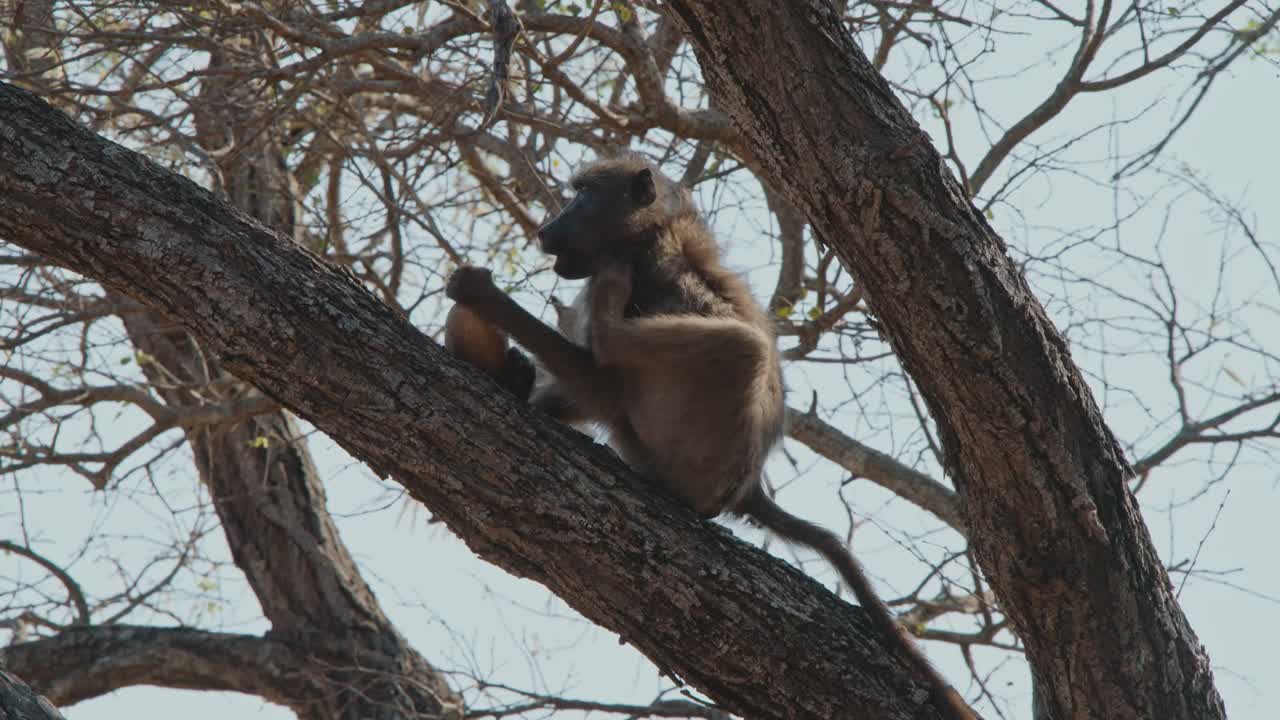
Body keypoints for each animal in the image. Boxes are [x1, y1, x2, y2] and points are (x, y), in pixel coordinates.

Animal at [445, 154, 977, 720]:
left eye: (582, 197)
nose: (547, 230)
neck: (648, 241)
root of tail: (746, 488)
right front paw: (510, 373)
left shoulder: (655, 282)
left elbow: (599, 385)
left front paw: (479, 294)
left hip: (703, 455)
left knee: (739, 348)